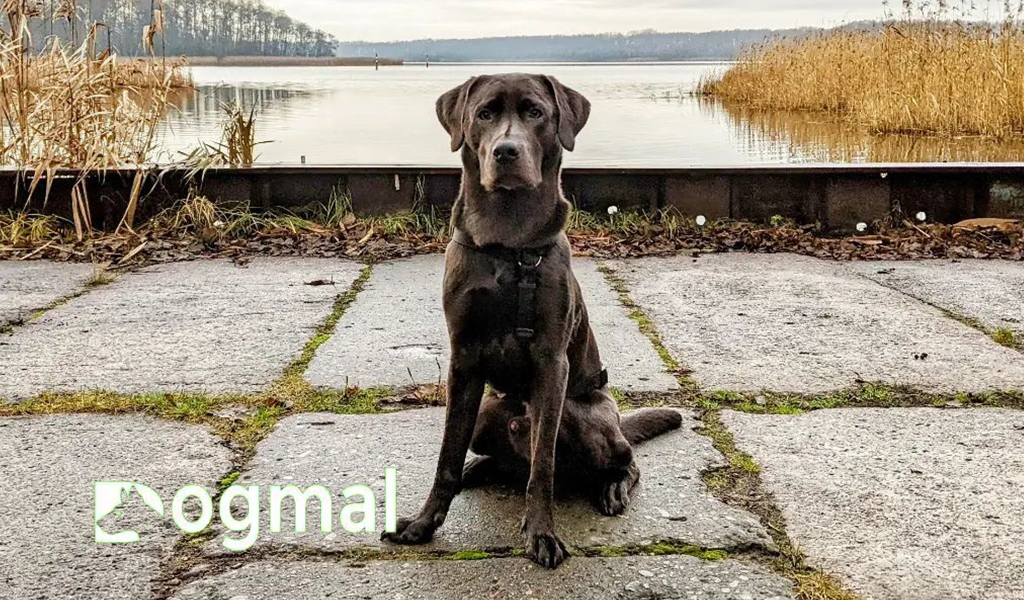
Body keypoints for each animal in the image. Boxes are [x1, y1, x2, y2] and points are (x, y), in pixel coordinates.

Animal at [382, 73, 679, 565]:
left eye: (536, 112)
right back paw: (476, 469)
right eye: (484, 113)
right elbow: (446, 455)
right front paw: (423, 524)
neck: (508, 241)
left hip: (589, 418)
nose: (506, 151)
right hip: (488, 412)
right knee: (496, 460)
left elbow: (543, 467)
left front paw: (541, 533)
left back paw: (613, 488)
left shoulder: (551, 363)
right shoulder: (463, 360)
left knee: (621, 460)